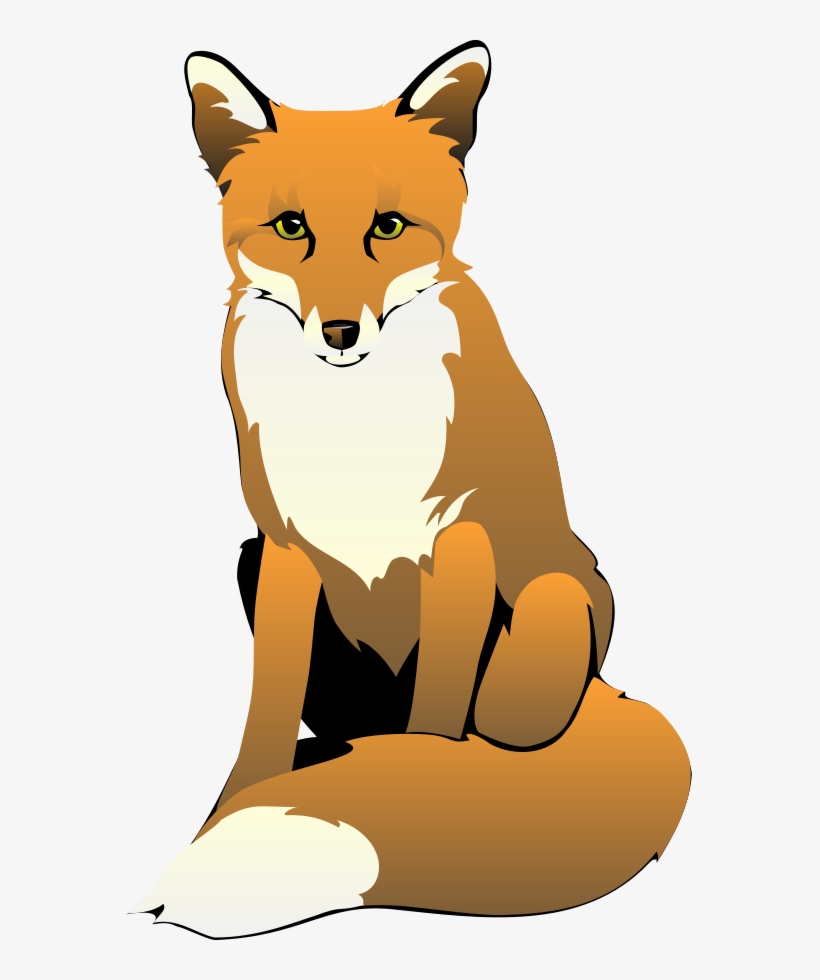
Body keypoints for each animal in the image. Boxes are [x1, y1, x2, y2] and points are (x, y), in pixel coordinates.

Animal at [131, 41, 690, 939]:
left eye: (387, 227)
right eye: (291, 228)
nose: (339, 332)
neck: (356, 431)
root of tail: (613, 692)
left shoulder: (458, 546)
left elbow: (433, 729)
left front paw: (423, 794)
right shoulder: (281, 548)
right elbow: (264, 720)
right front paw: (231, 809)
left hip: (550, 618)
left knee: (473, 723)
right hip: (250, 565)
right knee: (350, 736)